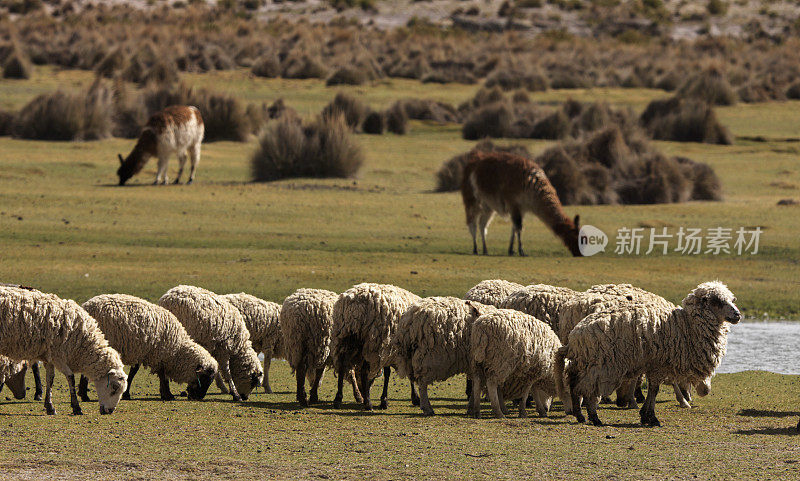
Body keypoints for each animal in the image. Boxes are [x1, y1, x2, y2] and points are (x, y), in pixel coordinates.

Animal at [0, 284, 126, 414]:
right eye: (115, 387)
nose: (110, 411)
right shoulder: (59, 355)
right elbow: (70, 377)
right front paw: (76, 407)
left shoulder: (49, 356)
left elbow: (50, 378)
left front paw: (49, 406)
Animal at [78, 292, 219, 402]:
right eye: (204, 378)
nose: (198, 398)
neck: (177, 349)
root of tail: (86, 307)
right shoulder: (160, 354)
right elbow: (162, 375)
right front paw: (167, 394)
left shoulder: (143, 352)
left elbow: (133, 372)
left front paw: (127, 394)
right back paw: (84, 395)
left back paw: (83, 393)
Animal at [560, 280, 740, 426]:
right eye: (717, 301)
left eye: (731, 300)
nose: (737, 315)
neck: (687, 326)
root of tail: (575, 335)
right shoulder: (659, 364)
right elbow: (654, 390)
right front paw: (651, 417)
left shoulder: (655, 365)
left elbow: (653, 389)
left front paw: (645, 415)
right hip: (602, 364)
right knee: (586, 388)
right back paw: (594, 416)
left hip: (586, 363)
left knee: (574, 383)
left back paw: (580, 415)